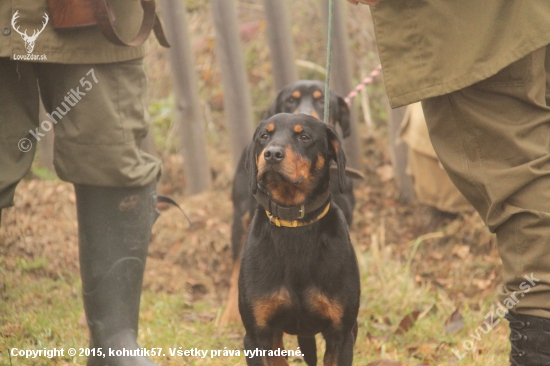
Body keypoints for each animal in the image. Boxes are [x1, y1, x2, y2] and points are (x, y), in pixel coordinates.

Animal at [238, 113, 360, 364]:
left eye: (304, 137)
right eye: (264, 136)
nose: (272, 154)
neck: (294, 223)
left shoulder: (341, 336)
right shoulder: (257, 336)